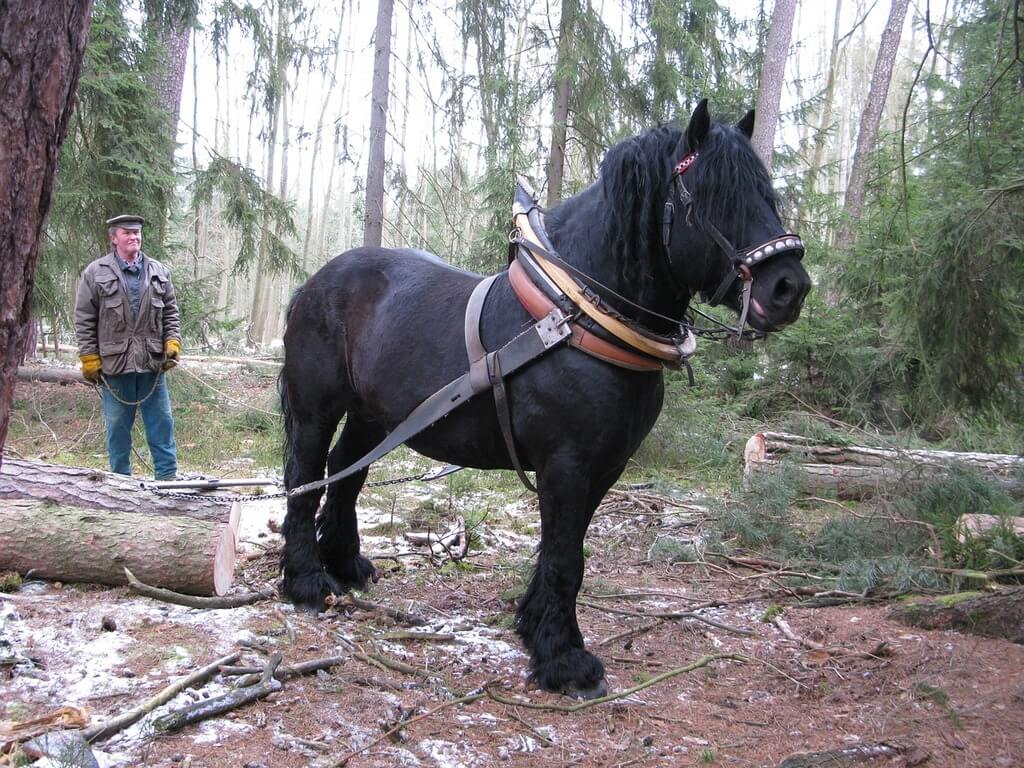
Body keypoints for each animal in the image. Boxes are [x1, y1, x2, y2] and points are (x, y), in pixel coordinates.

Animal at [276, 100, 811, 696]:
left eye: (765, 192)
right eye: (712, 194)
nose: (789, 288)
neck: (578, 312)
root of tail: (313, 283)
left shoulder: (604, 467)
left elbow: (566, 551)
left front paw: (537, 629)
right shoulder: (567, 464)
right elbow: (565, 559)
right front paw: (564, 660)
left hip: (374, 417)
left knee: (346, 473)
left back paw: (346, 565)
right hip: (315, 411)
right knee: (305, 478)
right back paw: (307, 583)